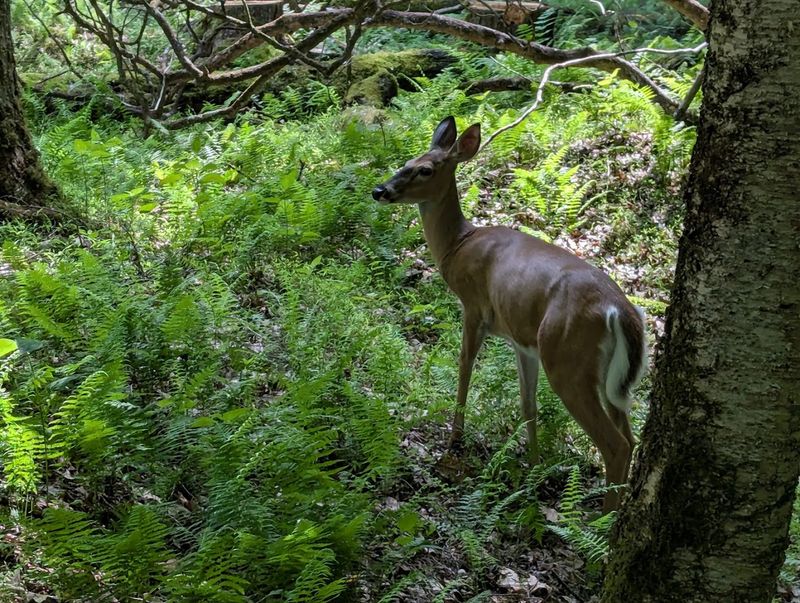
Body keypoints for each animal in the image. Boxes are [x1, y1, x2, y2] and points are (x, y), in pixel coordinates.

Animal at [372, 117, 647, 513]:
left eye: (425, 169)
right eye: (407, 161)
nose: (379, 190)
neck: (458, 245)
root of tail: (621, 311)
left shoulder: (474, 306)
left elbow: (464, 367)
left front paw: (455, 439)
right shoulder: (522, 341)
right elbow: (528, 404)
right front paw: (532, 468)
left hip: (567, 359)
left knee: (616, 444)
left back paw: (604, 521)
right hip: (602, 370)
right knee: (630, 435)